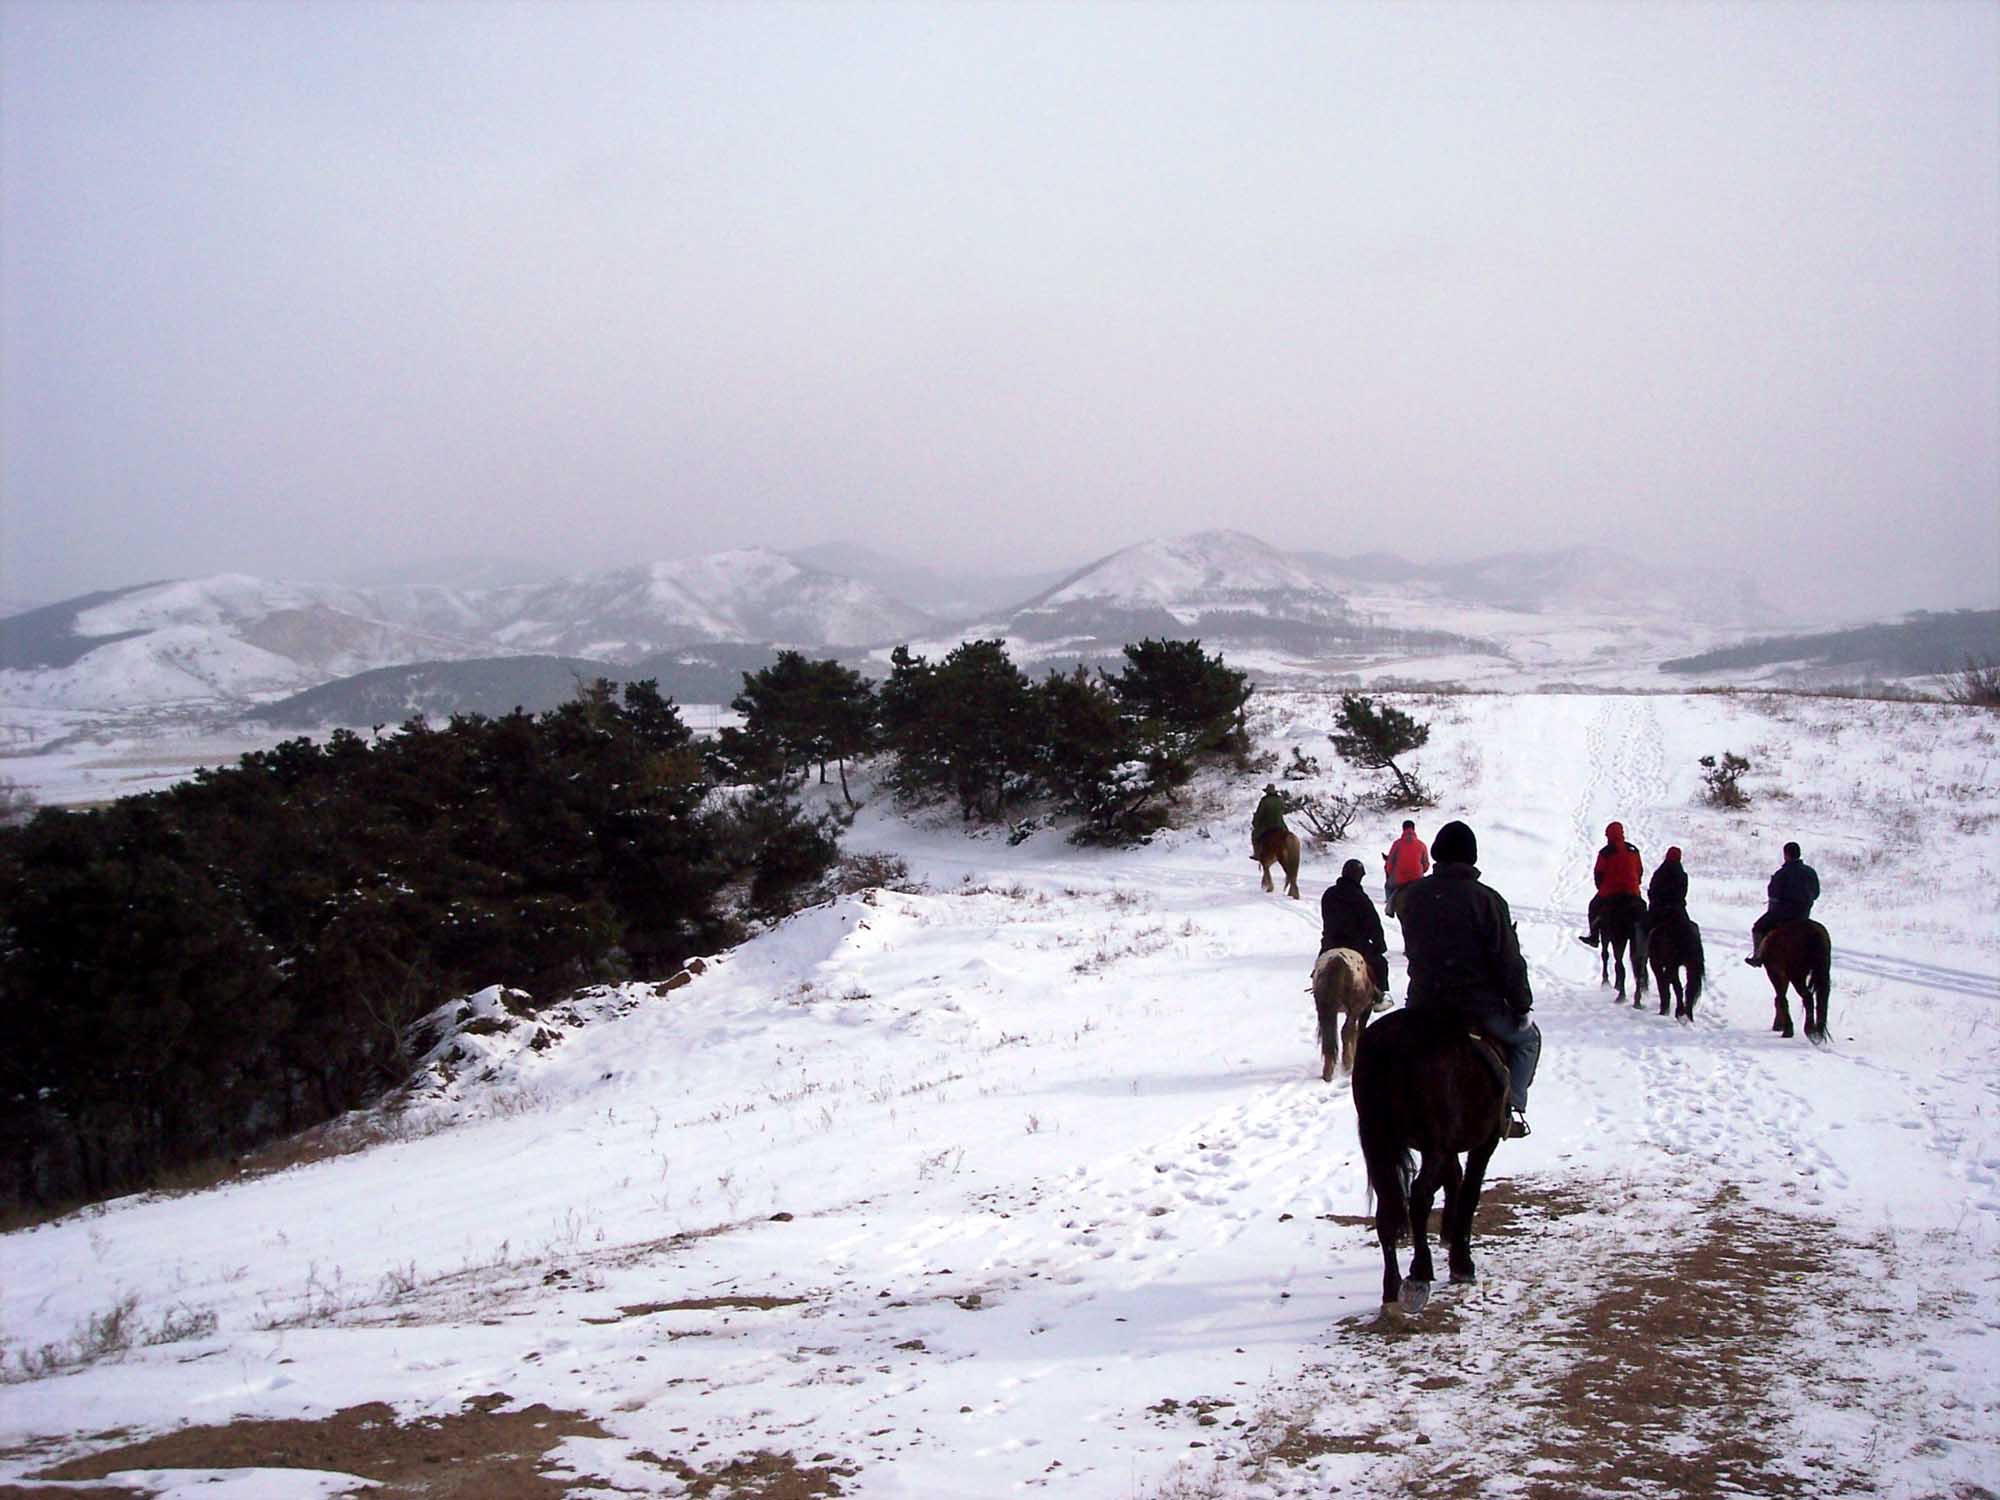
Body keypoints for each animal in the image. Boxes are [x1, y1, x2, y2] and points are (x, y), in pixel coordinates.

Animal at [1304, 952, 1384, 1080]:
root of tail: (1338, 961)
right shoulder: (1365, 1010)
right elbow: (1358, 1032)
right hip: (1354, 1009)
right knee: (1346, 1031)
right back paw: (1347, 1065)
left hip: (1325, 1010)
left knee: (1329, 1038)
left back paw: (1327, 1072)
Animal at [1352, 1012, 1504, 1312]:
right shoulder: (1484, 1142)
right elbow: (1469, 1191)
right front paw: (1461, 1262)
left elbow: (1454, 1178)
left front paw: (1449, 1234)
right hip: (1435, 1144)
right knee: (1420, 1197)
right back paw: (1420, 1273)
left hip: (1380, 1140)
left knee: (1388, 1210)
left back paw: (1391, 1288)